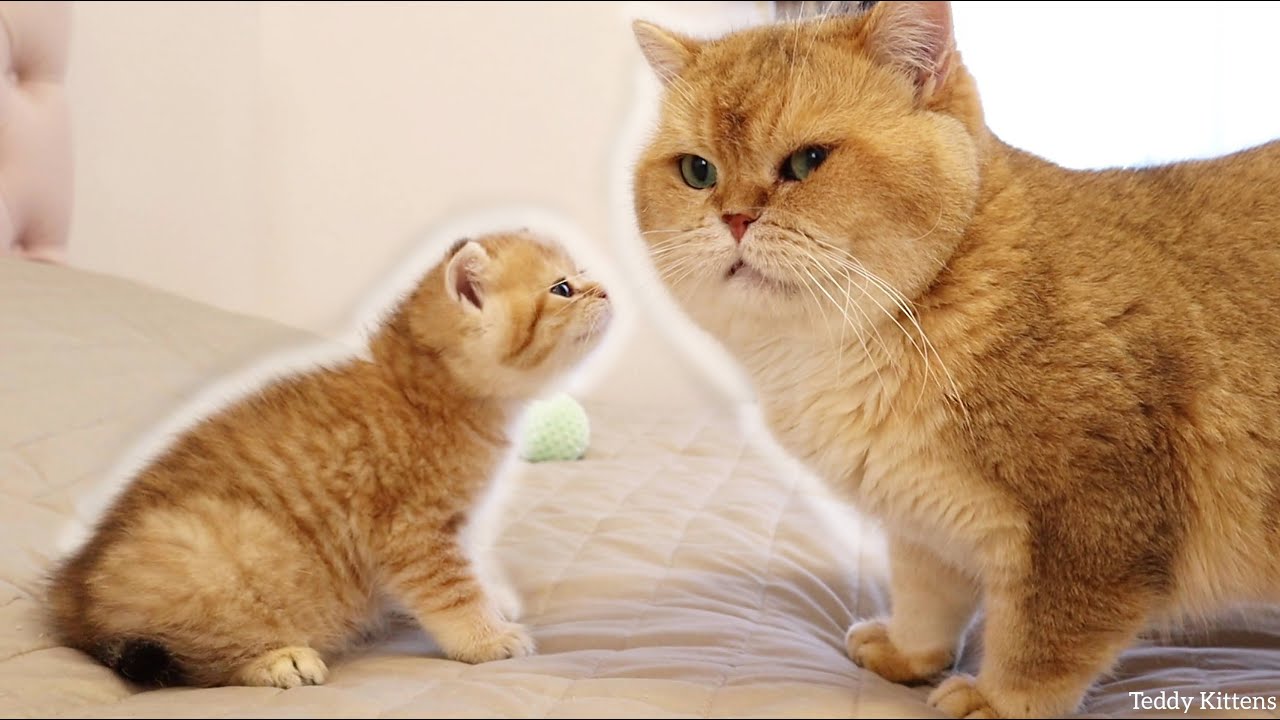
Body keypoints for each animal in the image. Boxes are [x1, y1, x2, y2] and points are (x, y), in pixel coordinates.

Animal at [47, 230, 611, 689]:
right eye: (563, 288)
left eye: (582, 275)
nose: (605, 289)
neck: (428, 393)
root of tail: (70, 596)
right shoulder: (414, 532)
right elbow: (452, 593)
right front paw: (487, 637)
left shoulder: (455, 524)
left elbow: (471, 566)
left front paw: (493, 598)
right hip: (229, 549)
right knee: (193, 658)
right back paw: (276, 660)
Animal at [631, 3, 1280, 718]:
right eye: (697, 171)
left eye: (807, 161)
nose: (735, 217)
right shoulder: (922, 520)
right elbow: (927, 597)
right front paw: (909, 653)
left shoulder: (1090, 529)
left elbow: (1043, 639)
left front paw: (997, 700)